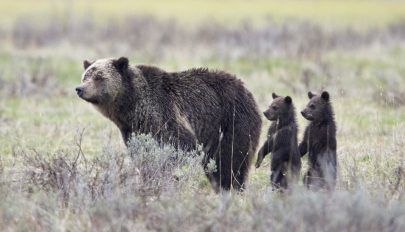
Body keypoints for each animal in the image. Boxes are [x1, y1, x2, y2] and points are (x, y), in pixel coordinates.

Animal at [75, 57, 262, 191]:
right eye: (85, 76)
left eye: (99, 77)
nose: (79, 88)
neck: (131, 106)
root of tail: (247, 90)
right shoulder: (133, 129)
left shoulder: (163, 113)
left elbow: (180, 143)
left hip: (231, 121)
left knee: (229, 160)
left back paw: (231, 187)